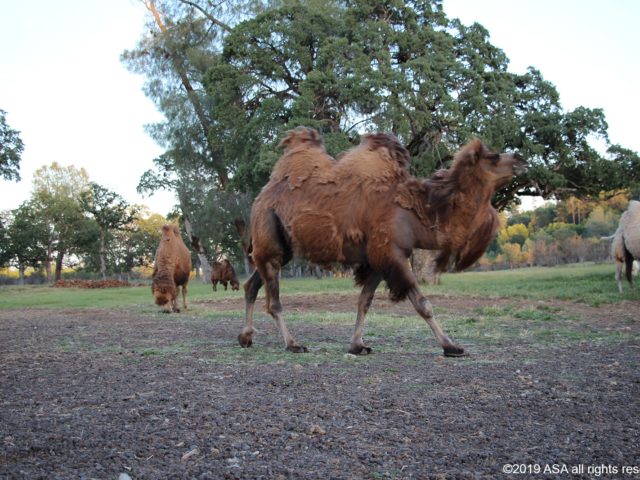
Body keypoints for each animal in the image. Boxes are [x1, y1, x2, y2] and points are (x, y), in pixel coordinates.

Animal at [238, 127, 528, 356]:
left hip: (280, 245)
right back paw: (292, 344)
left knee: (252, 284)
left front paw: (357, 345)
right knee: (274, 299)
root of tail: (262, 195)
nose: (522, 159)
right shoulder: (390, 251)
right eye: (493, 157)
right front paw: (451, 346)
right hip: (267, 227)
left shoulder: (377, 258)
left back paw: (246, 337)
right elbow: (423, 304)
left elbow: (364, 302)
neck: (416, 211)